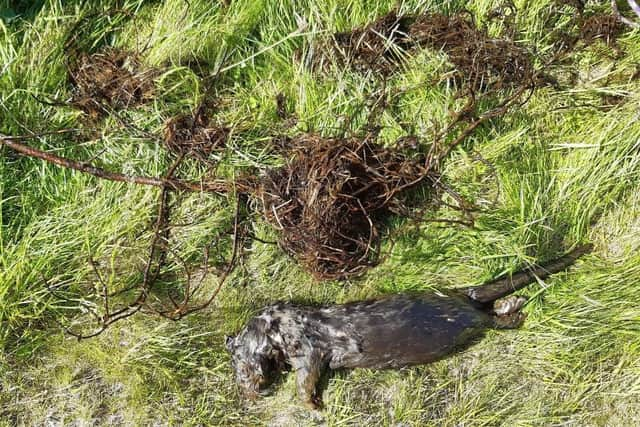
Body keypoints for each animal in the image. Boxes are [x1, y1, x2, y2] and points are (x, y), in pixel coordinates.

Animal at [228, 244, 592, 408]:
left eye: (241, 366)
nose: (249, 391)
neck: (287, 325)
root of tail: (464, 296)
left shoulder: (307, 347)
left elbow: (306, 378)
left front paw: (313, 405)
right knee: (490, 307)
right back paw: (513, 303)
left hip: (471, 323)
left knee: (491, 319)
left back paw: (515, 313)